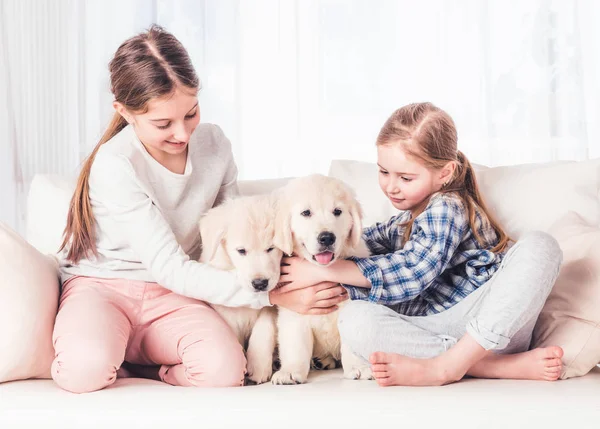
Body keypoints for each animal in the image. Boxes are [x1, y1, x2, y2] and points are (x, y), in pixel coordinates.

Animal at [197, 192, 282, 382]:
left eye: (271, 248)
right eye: (241, 251)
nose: (260, 283)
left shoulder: (272, 308)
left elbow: (264, 328)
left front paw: (258, 367)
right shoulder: (226, 312)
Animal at [270, 175, 372, 384]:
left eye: (337, 211)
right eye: (306, 213)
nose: (326, 238)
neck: (322, 271)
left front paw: (358, 367)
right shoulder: (295, 312)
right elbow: (295, 347)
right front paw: (290, 371)